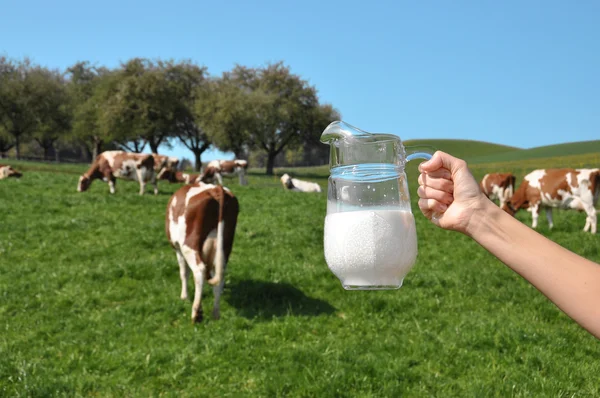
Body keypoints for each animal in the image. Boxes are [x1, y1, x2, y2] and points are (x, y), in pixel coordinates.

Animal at [165, 183, 240, 324]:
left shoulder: (178, 248)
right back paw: (216, 314)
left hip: (189, 246)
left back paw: (196, 314)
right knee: (219, 276)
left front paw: (184, 296)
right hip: (224, 247)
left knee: (199, 270)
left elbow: (184, 273)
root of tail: (215, 189)